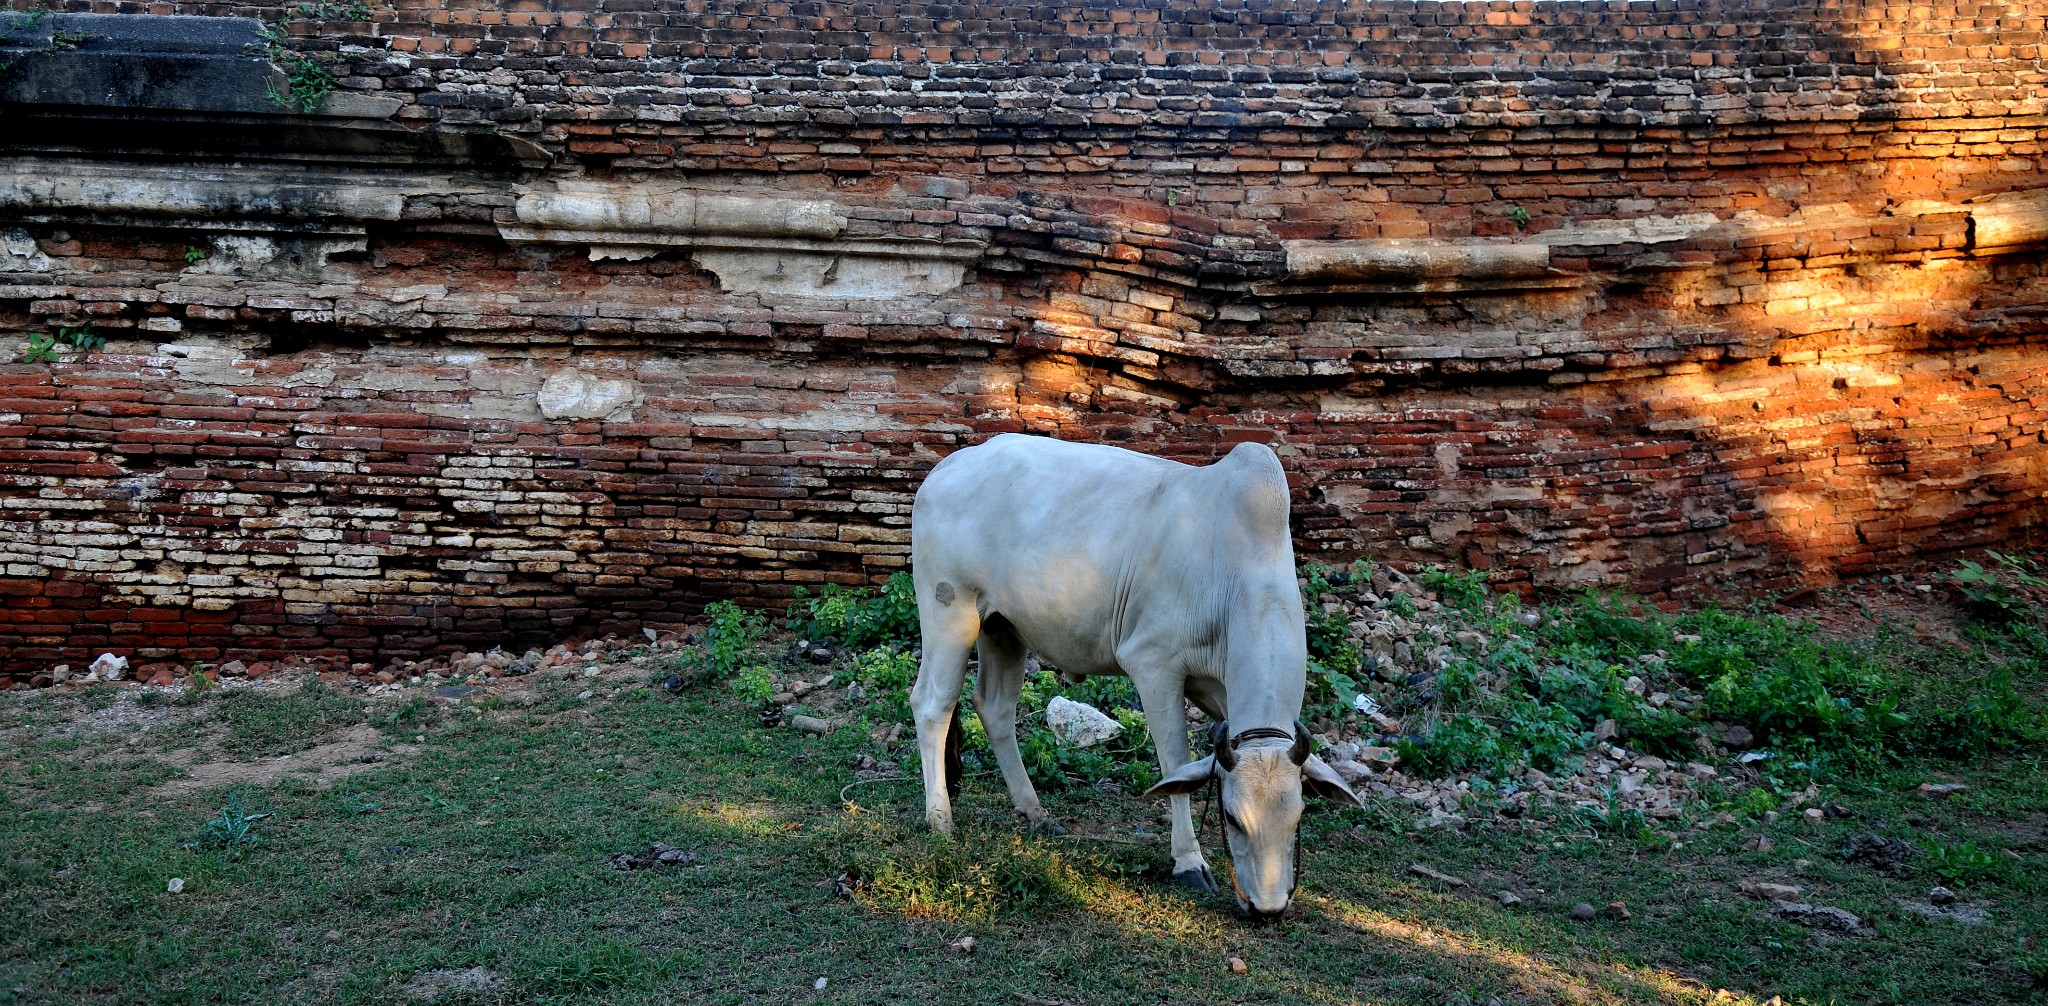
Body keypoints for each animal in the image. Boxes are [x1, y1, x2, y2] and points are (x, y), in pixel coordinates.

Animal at [909, 432, 1359, 921]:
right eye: (1232, 818)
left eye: (1297, 817)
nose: (1267, 909)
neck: (1232, 571)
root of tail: (947, 467)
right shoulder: (1154, 664)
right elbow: (1175, 760)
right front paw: (1188, 862)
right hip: (949, 611)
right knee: (931, 704)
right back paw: (939, 819)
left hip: (1002, 628)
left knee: (994, 708)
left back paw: (1034, 811)